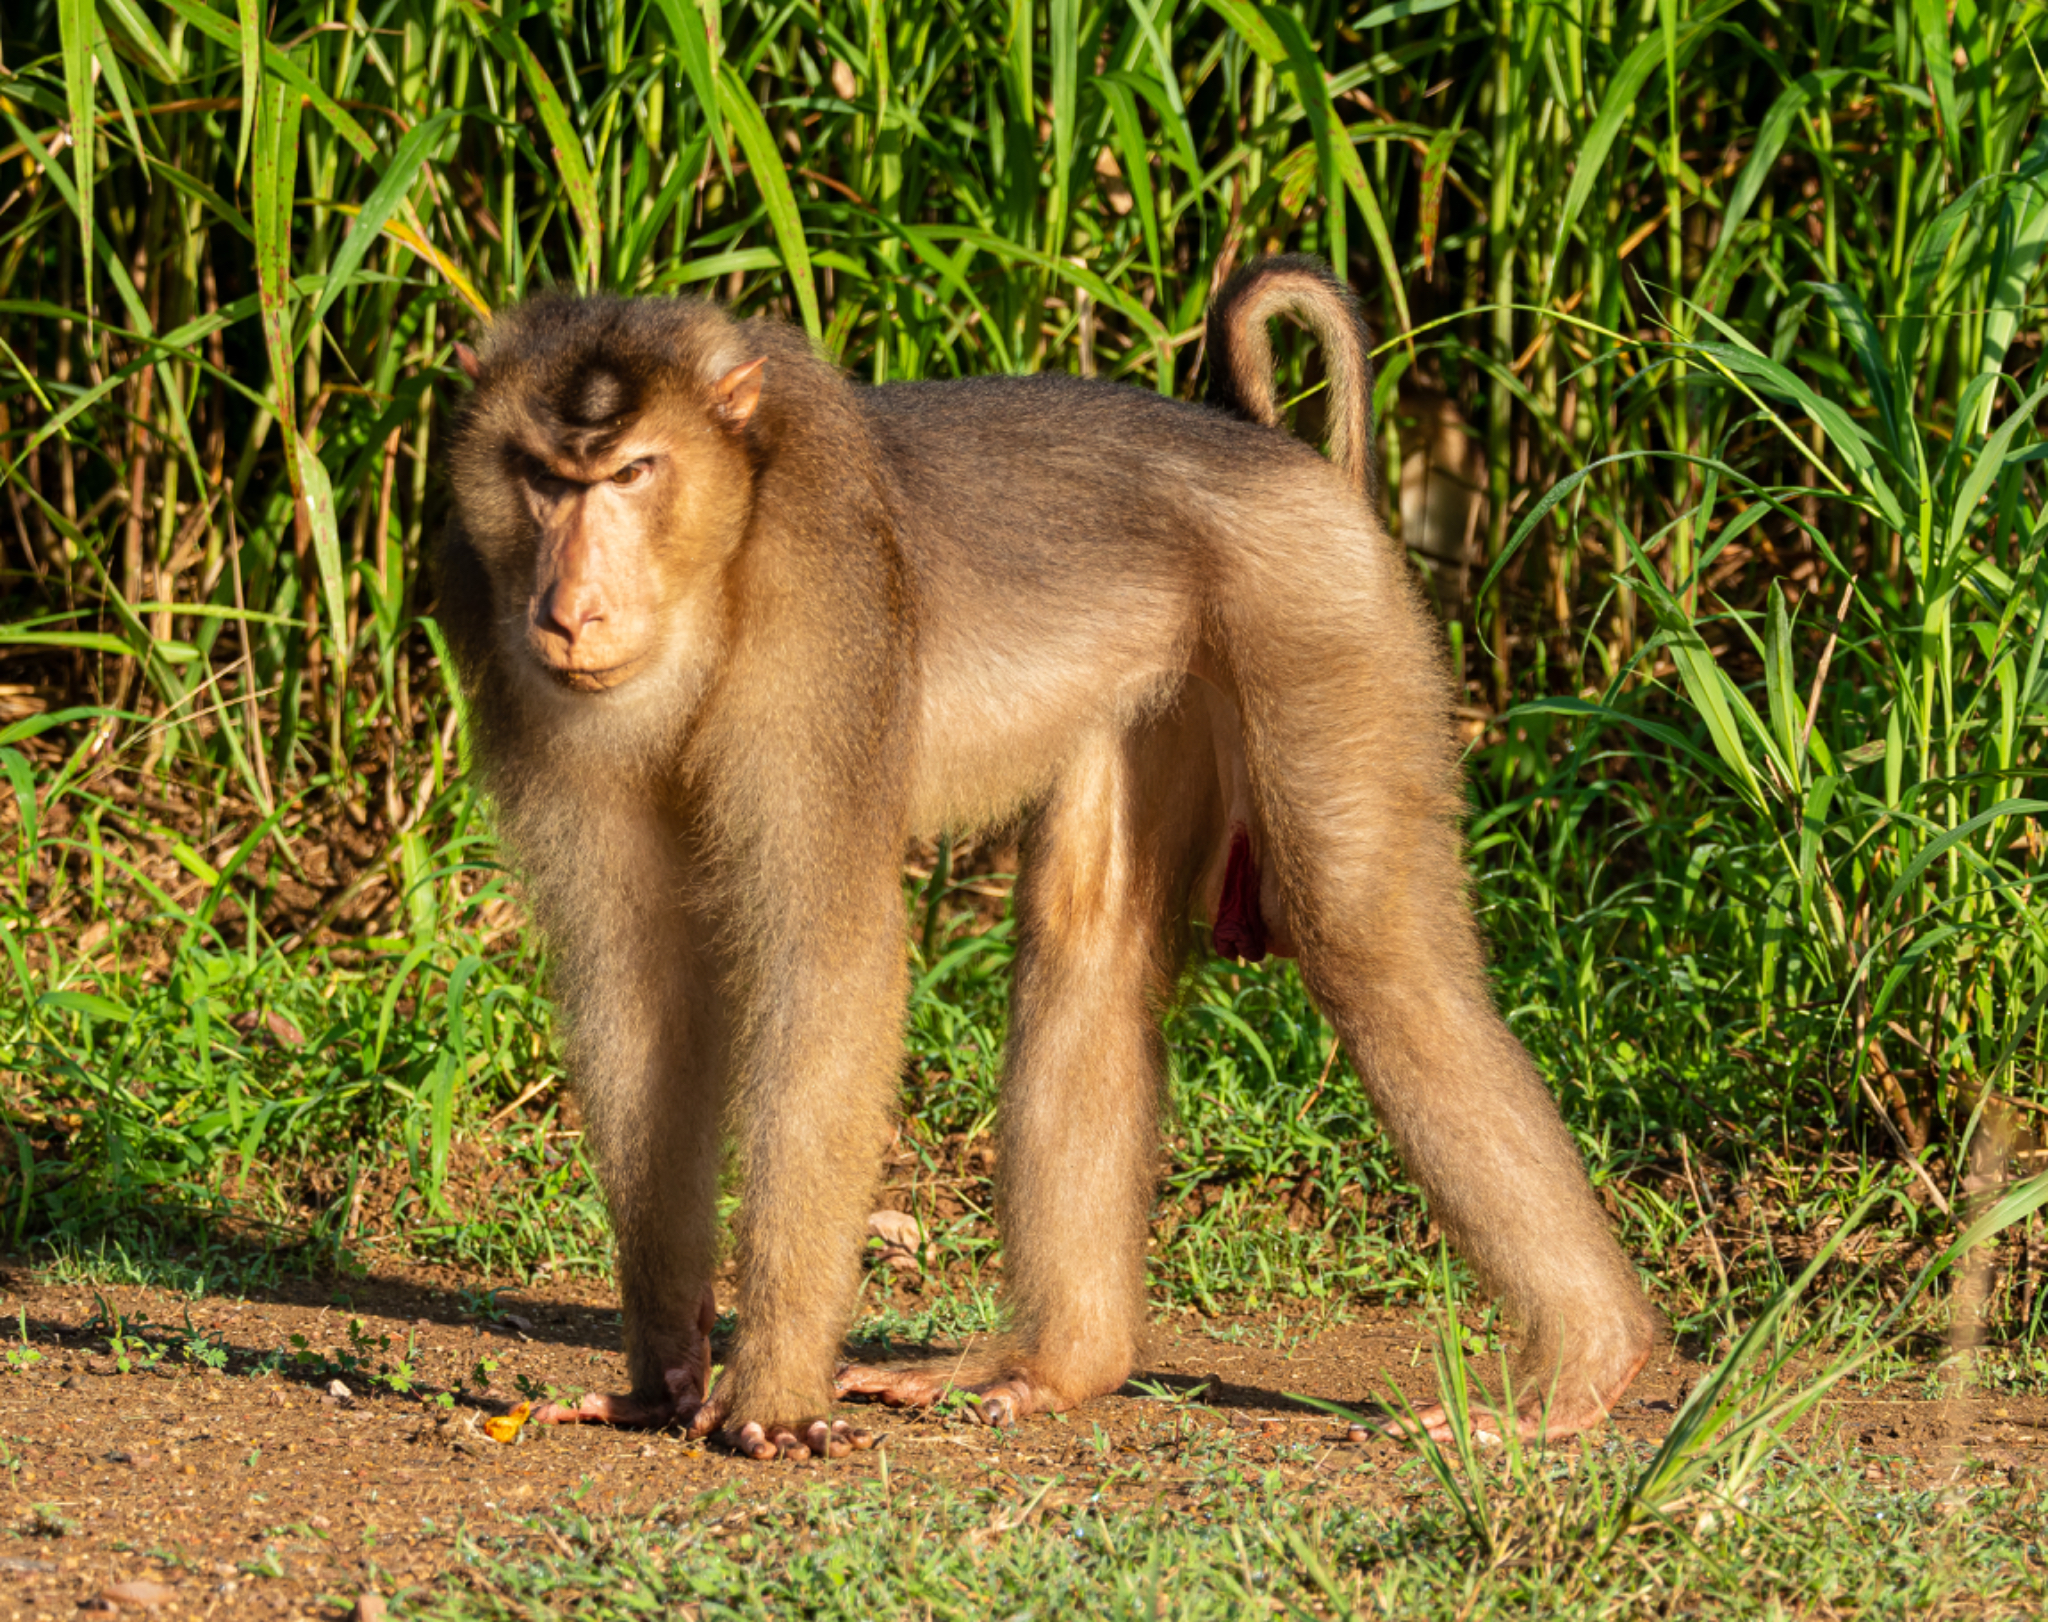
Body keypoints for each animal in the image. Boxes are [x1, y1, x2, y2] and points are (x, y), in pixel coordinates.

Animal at [437, 256, 1658, 1461]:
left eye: (633, 471)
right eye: (541, 477)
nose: (570, 610)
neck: (721, 567)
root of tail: (1255, 439)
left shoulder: (821, 620)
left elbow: (826, 963)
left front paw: (772, 1390)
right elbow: (639, 982)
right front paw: (661, 1374)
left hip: (1316, 617)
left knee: (1372, 950)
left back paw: (1584, 1363)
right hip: (1164, 680)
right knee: (1090, 939)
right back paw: (1064, 1363)